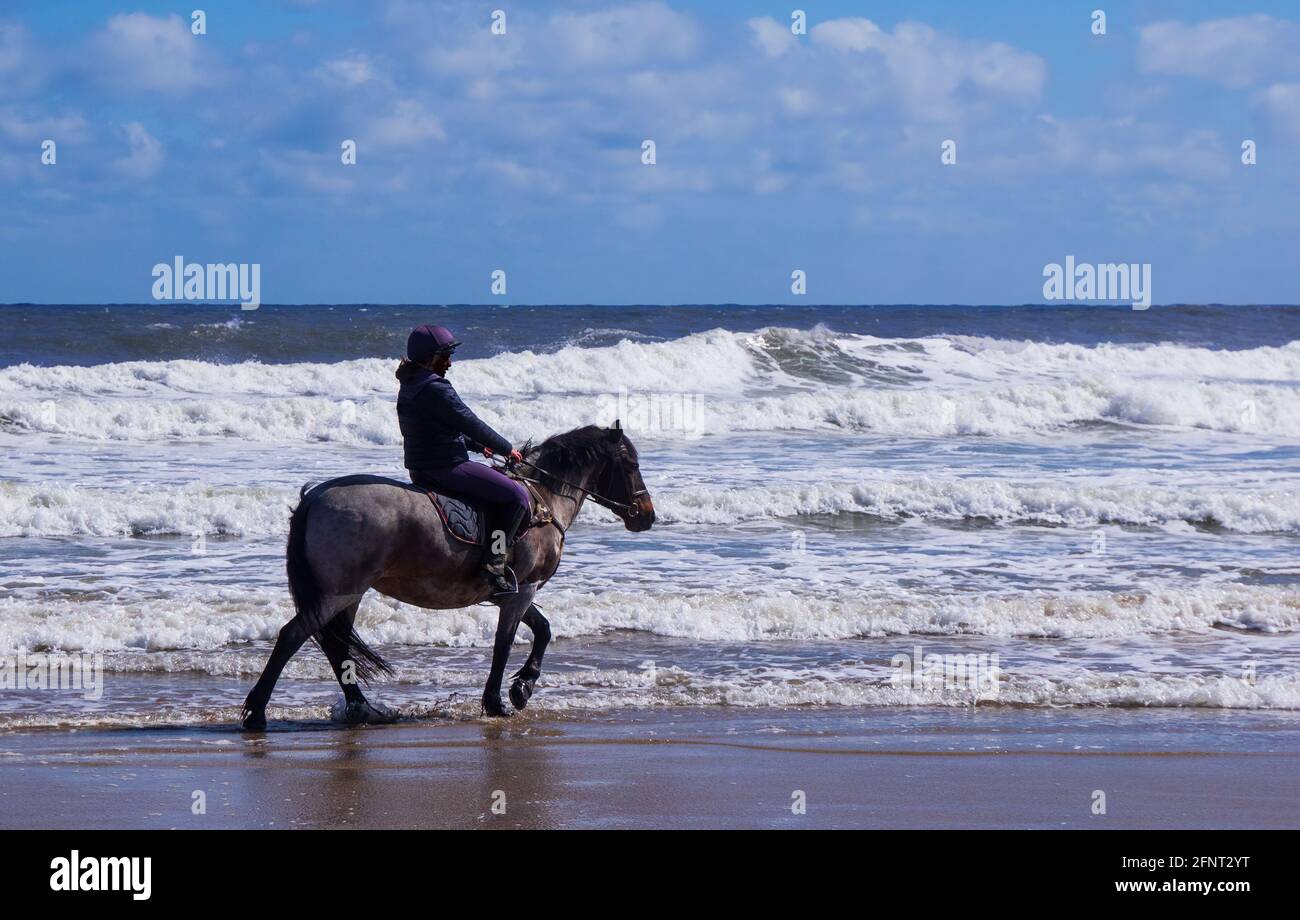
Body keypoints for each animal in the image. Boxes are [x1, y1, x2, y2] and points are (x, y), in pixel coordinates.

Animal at [240, 422, 654, 730]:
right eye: (631, 464)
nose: (647, 516)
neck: (543, 502)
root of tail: (313, 498)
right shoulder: (523, 590)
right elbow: (506, 644)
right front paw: (499, 701)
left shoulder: (513, 592)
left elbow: (543, 629)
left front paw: (522, 687)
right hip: (338, 593)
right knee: (293, 636)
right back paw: (257, 711)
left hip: (347, 594)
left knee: (335, 646)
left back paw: (363, 709)